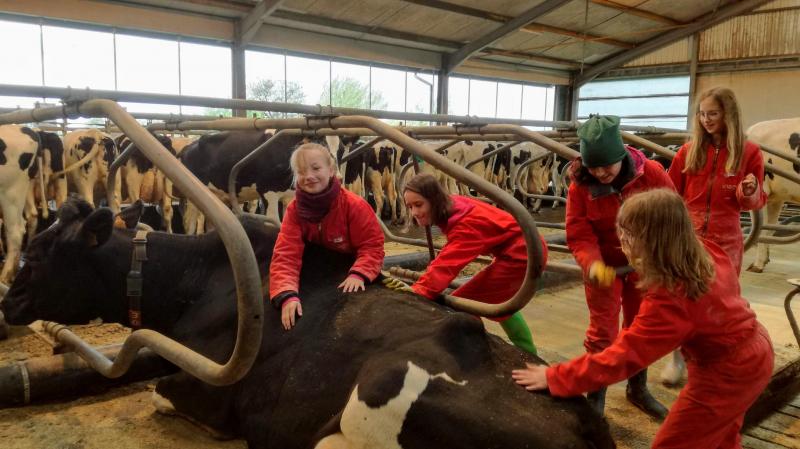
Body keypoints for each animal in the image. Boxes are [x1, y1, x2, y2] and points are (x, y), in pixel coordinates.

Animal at [1, 200, 612, 448]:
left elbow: (160, 393)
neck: (199, 280)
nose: (8, 301)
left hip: (377, 392)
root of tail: (584, 419)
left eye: (43, 251)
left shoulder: (214, 391)